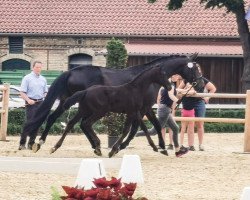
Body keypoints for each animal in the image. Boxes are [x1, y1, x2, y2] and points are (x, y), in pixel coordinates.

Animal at [25, 54, 203, 152]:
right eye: (195, 68)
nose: (200, 84)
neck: (148, 79)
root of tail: (71, 71)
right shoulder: (144, 108)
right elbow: (144, 127)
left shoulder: (142, 109)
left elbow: (147, 127)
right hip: (85, 106)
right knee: (79, 123)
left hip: (68, 101)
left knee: (55, 118)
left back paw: (39, 143)